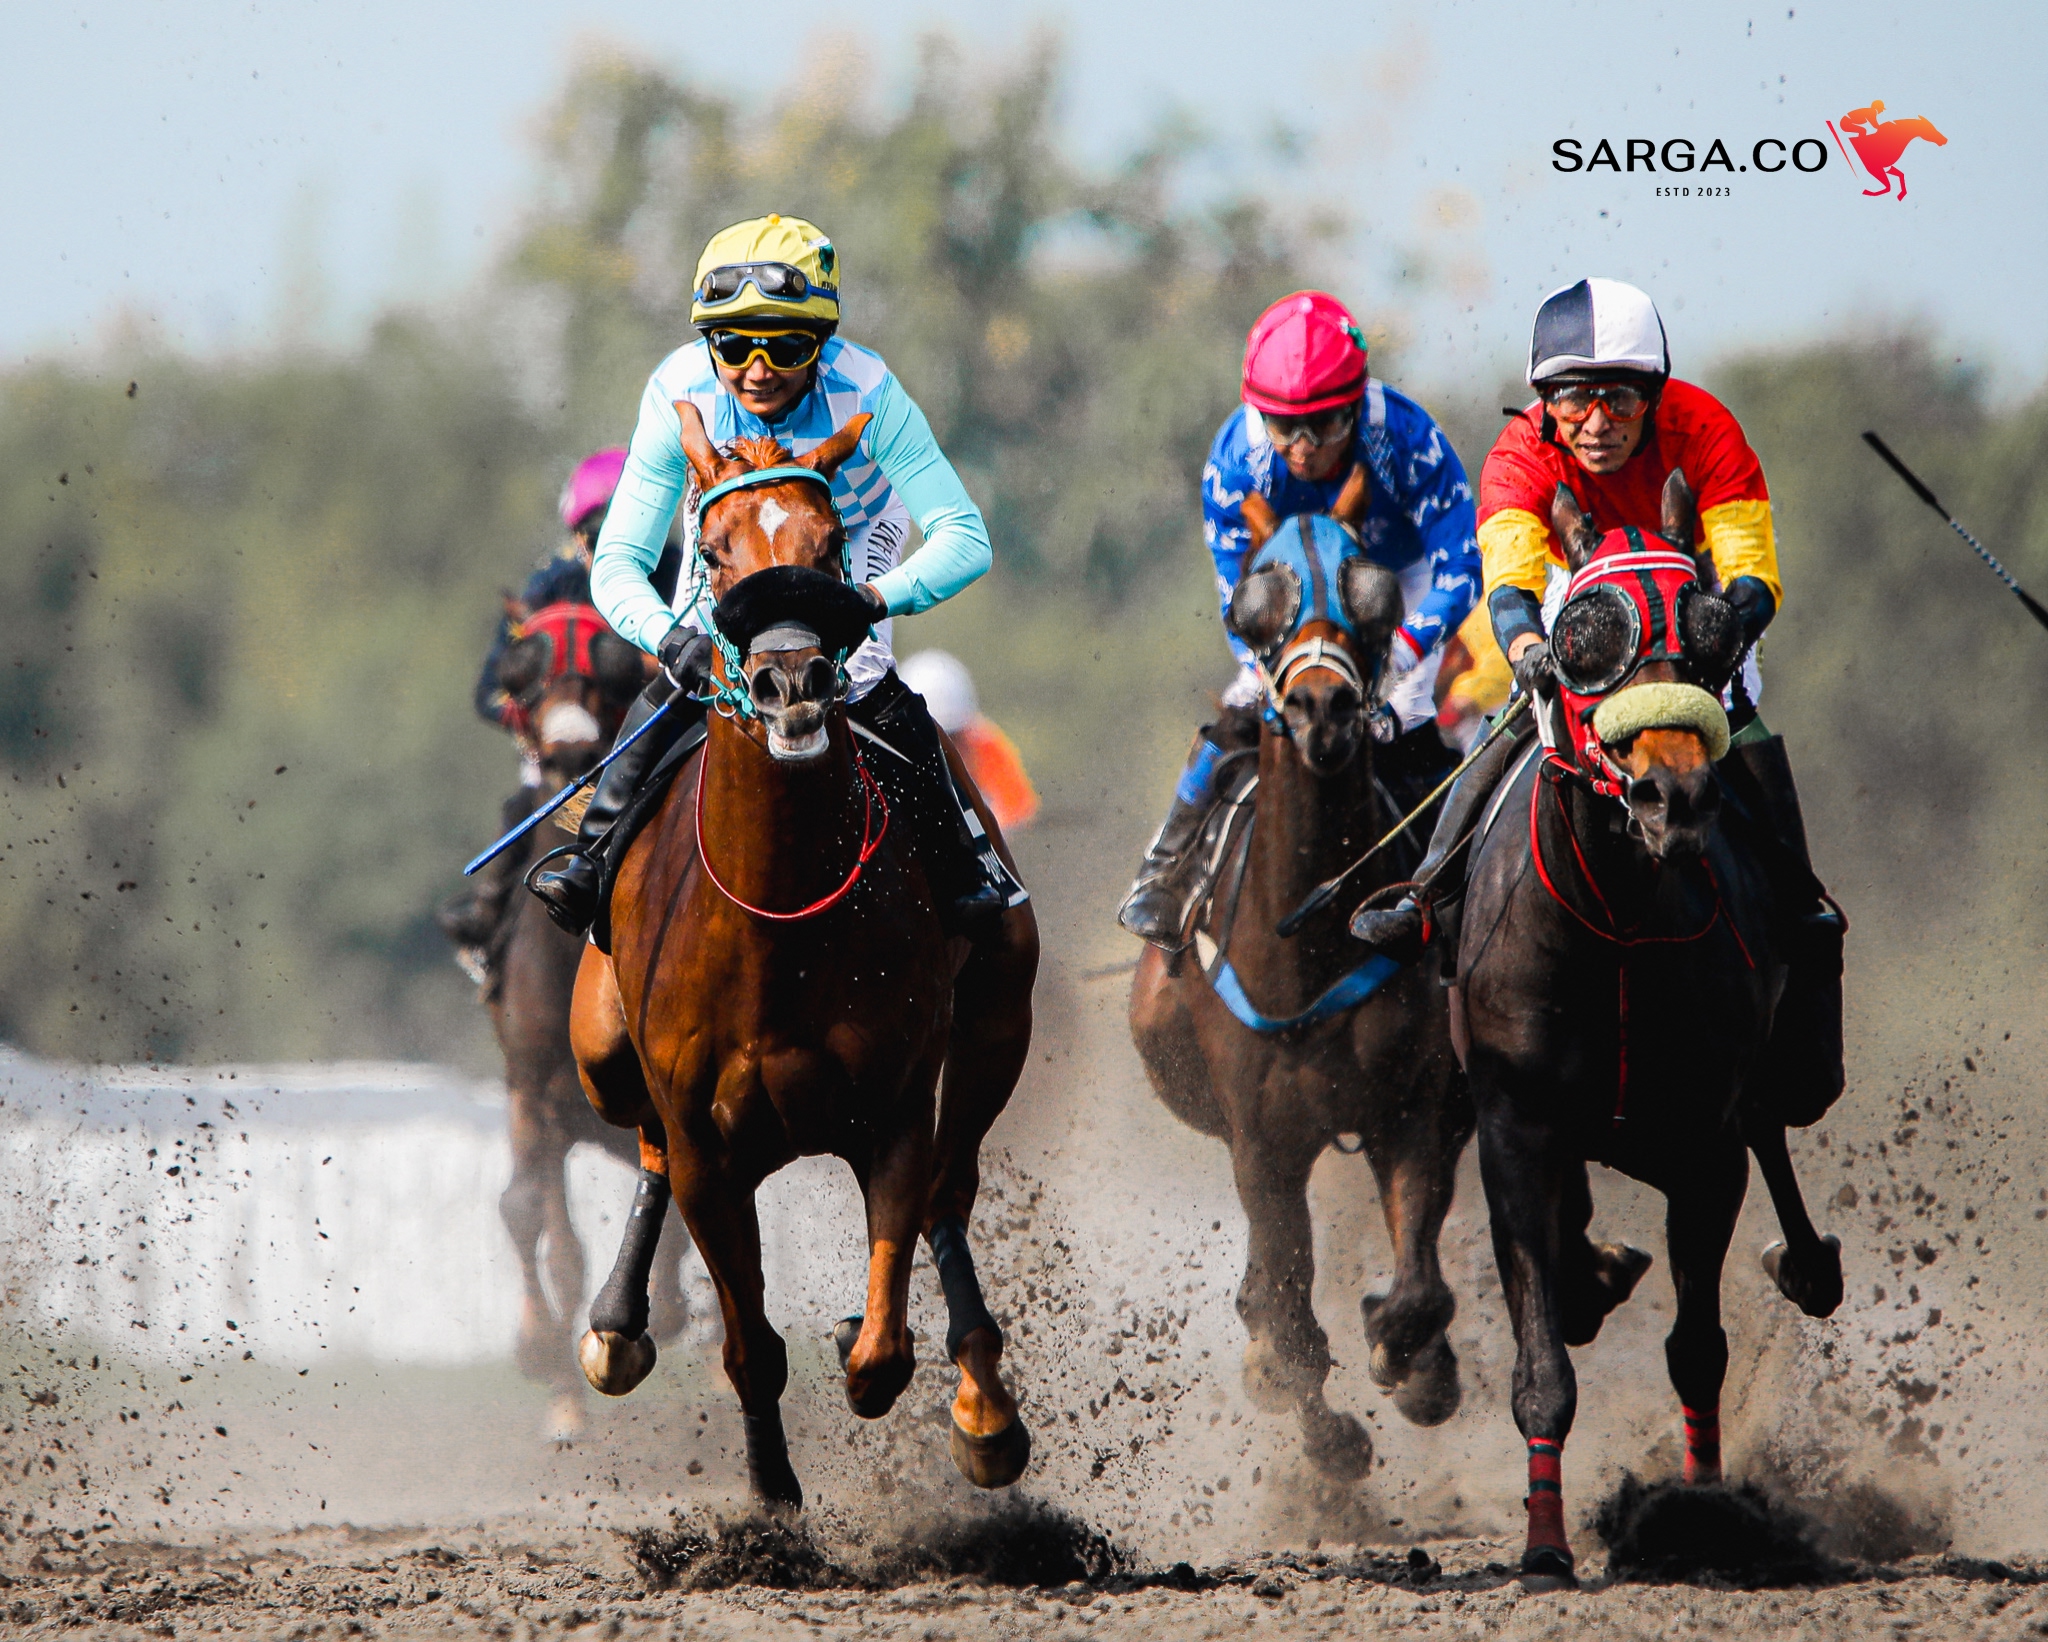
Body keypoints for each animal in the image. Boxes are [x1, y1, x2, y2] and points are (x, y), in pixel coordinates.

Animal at [483, 603, 697, 1440]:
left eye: (609, 673)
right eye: (522, 676)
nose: (571, 746)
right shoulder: (533, 1087)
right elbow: (535, 1219)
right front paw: (550, 1367)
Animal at [565, 407, 1039, 1509]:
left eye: (829, 548)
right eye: (712, 548)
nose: (791, 681)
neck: (777, 927)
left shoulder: (894, 1108)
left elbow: (881, 1348)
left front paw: (871, 1344)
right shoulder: (706, 1146)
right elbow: (749, 1346)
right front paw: (771, 1495)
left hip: (999, 1018)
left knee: (952, 1186)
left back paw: (983, 1407)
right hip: (599, 1050)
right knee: (644, 1148)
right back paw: (614, 1329)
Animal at [1129, 474, 1473, 1481]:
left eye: (1372, 592)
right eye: (1258, 598)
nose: (1323, 709)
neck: (1311, 934)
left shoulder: (1410, 1107)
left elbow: (1418, 1282)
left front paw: (1410, 1356)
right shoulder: (1261, 1143)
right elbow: (1286, 1308)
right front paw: (1328, 1433)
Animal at [1455, 474, 1844, 1583]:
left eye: (1710, 635)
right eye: (1582, 635)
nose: (1671, 793)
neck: (1618, 925)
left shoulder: (1705, 1141)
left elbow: (1696, 1348)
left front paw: (1701, 1516)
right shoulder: (1513, 1127)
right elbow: (1540, 1358)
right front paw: (1544, 1546)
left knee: (1779, 1119)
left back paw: (1806, 1262)